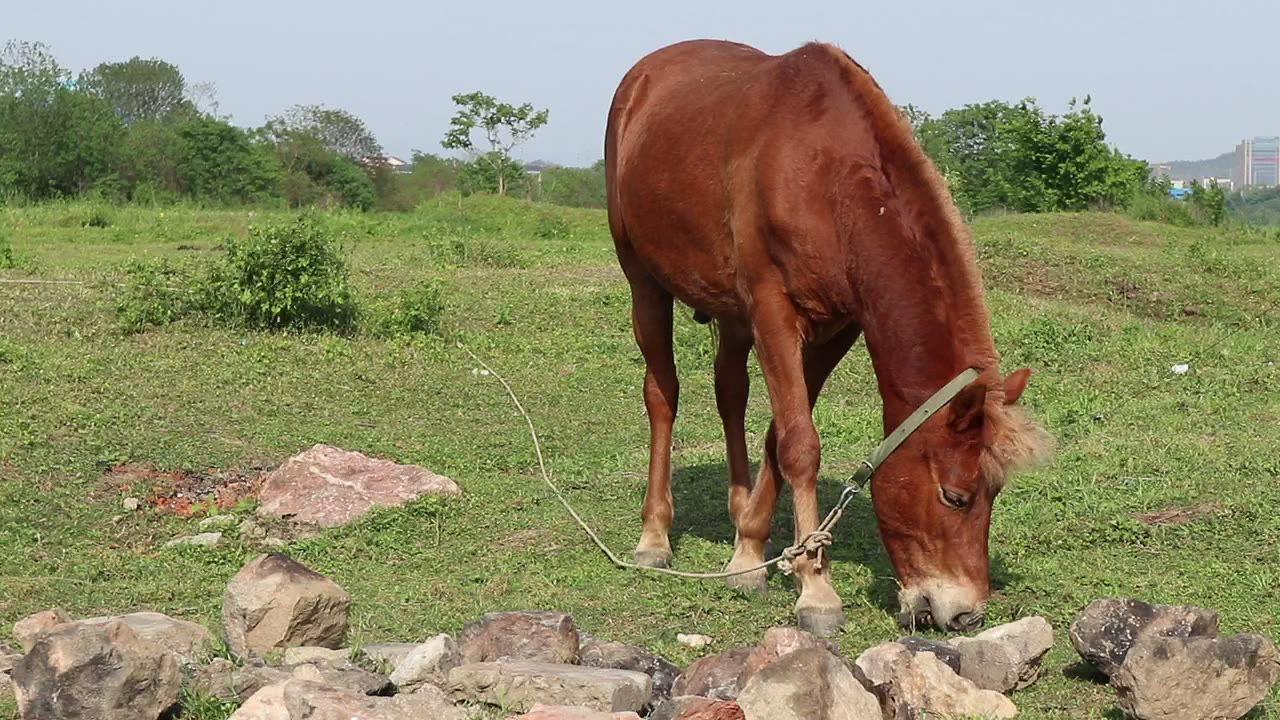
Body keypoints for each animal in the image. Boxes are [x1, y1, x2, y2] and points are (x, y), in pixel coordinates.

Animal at [603, 39, 1052, 636]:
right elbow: (800, 444)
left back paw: (739, 509)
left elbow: (780, 432)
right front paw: (816, 589)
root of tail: (644, 77)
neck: (825, 177)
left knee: (731, 393)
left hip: (731, 311)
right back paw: (654, 535)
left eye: (995, 492)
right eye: (955, 497)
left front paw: (752, 553)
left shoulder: (836, 327)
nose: (964, 615)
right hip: (644, 281)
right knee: (663, 395)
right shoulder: (773, 310)